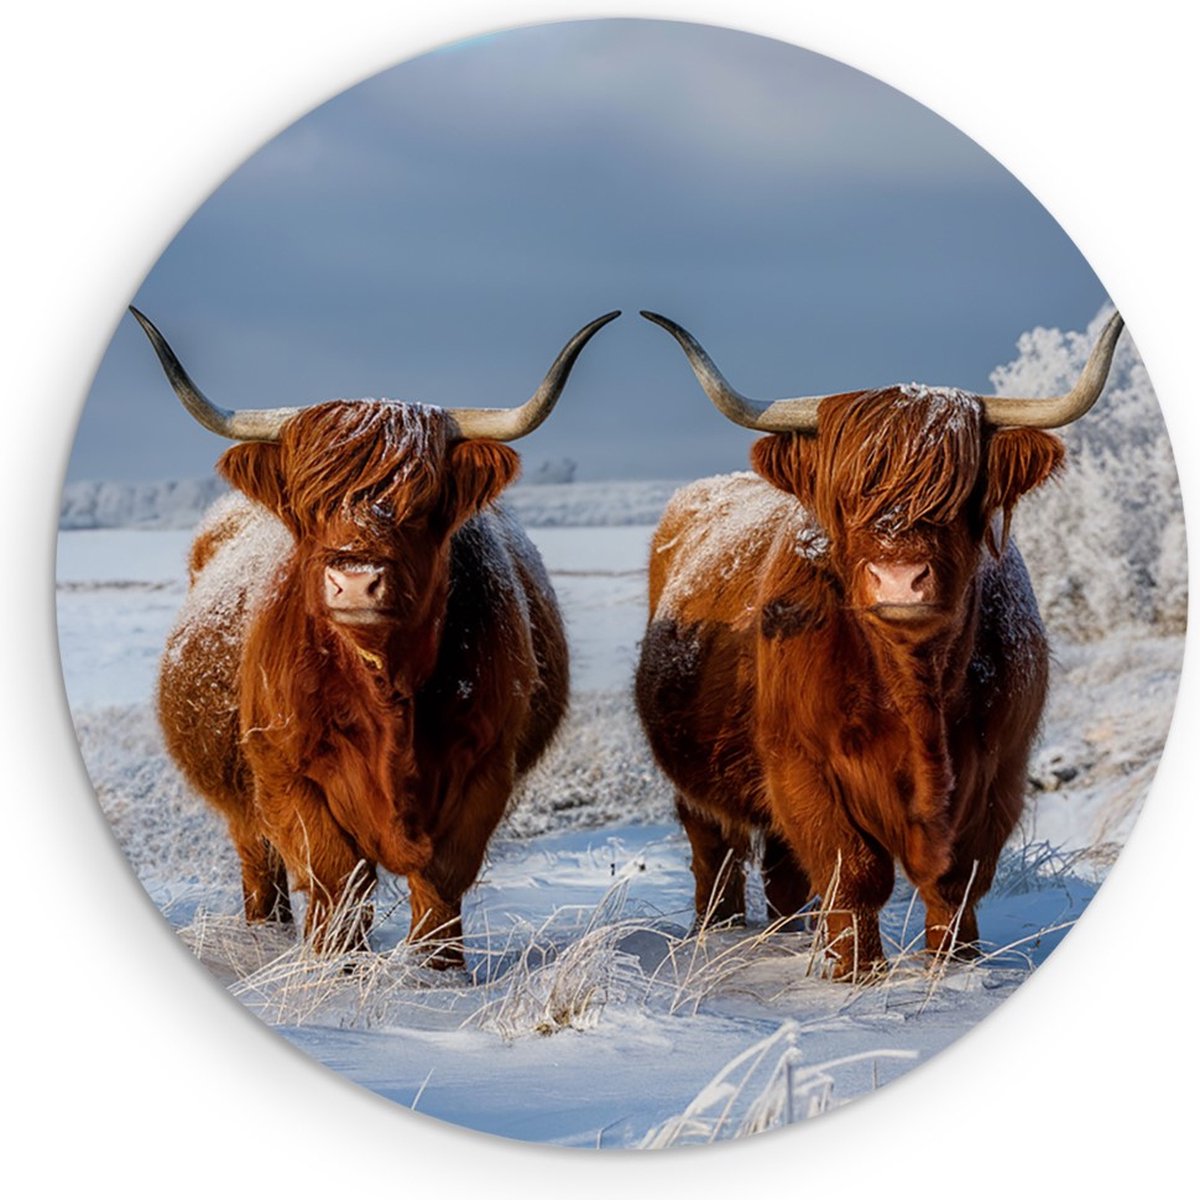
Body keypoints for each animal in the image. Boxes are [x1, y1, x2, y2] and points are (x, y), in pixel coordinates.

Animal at [132, 307, 619, 965]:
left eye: (422, 502)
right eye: (308, 505)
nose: (356, 580)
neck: (387, 689)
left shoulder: (486, 770)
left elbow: (441, 879)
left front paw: (437, 971)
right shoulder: (286, 774)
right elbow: (336, 878)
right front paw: (335, 967)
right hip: (242, 803)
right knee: (261, 867)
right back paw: (265, 935)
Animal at [634, 310, 1123, 980]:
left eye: (958, 494)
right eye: (847, 496)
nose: (898, 579)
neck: (915, 685)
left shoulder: (1001, 772)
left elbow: (958, 881)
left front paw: (954, 965)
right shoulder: (802, 767)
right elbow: (854, 874)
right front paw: (856, 973)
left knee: (783, 875)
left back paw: (793, 934)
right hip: (699, 785)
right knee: (718, 853)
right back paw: (720, 932)